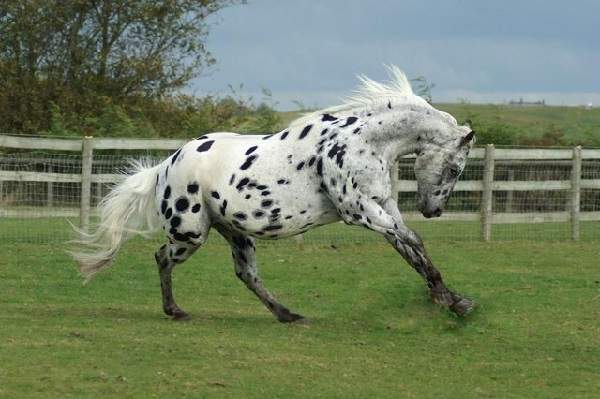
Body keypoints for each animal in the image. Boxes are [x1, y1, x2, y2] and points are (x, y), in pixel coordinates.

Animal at [71, 65, 474, 322]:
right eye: (456, 169)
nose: (434, 210)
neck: (361, 142)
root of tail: (167, 164)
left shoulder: (382, 208)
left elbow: (411, 250)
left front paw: (452, 300)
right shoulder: (359, 212)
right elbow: (415, 240)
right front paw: (450, 300)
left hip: (234, 231)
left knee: (246, 274)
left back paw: (287, 314)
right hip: (190, 232)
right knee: (162, 257)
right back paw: (175, 311)